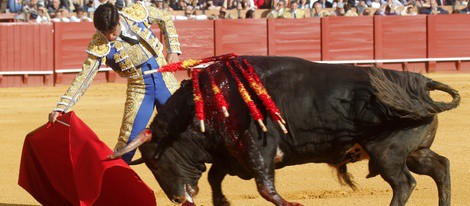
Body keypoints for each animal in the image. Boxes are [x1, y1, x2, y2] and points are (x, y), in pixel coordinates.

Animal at [131, 55, 458, 205]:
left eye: (156, 162)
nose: (176, 198)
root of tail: (421, 84)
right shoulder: (232, 153)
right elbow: (215, 177)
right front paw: (222, 201)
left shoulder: (257, 149)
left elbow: (265, 188)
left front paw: (291, 202)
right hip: (414, 150)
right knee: (440, 167)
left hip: (387, 152)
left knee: (404, 183)